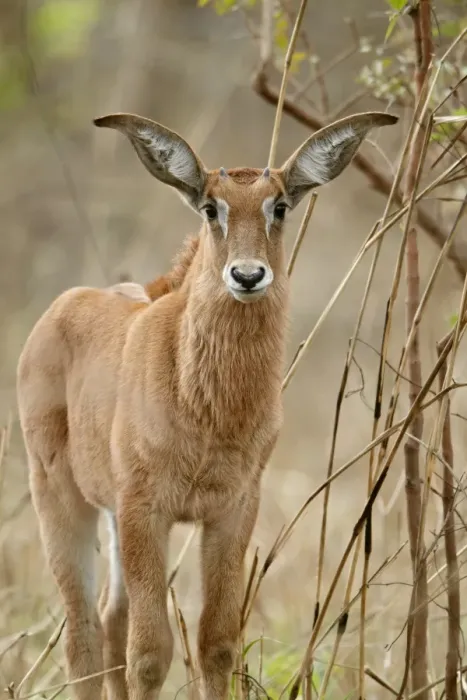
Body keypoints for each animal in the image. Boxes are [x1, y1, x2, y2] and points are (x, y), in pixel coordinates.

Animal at [17, 110, 398, 700]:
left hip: (110, 516)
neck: (207, 406)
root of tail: (63, 308)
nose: (247, 275)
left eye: (279, 205)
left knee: (110, 618)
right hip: (60, 496)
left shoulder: (231, 509)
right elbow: (151, 653)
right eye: (210, 207)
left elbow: (216, 644)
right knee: (82, 634)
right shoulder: (146, 509)